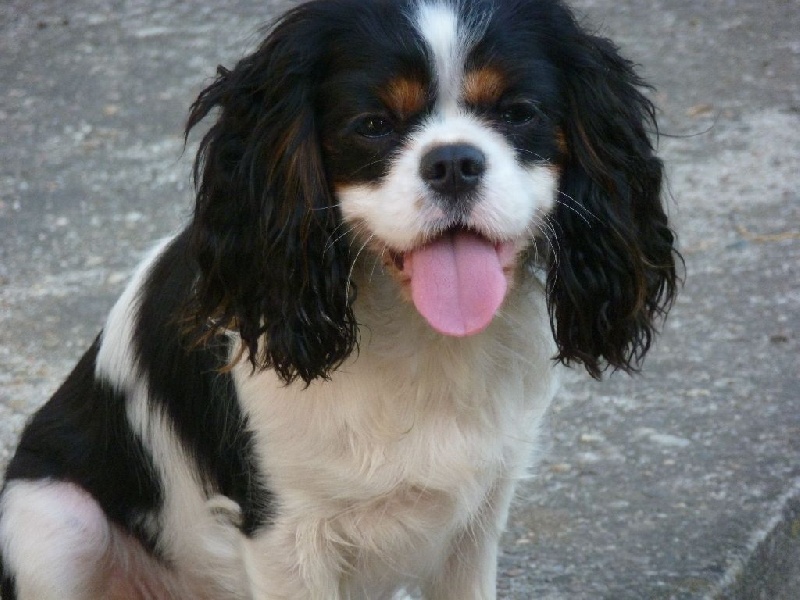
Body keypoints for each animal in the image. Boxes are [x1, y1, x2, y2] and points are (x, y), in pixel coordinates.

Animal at [0, 1, 680, 596]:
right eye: (373, 125)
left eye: (518, 113)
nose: (454, 161)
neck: (419, 334)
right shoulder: (283, 534)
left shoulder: (476, 518)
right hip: (53, 519)